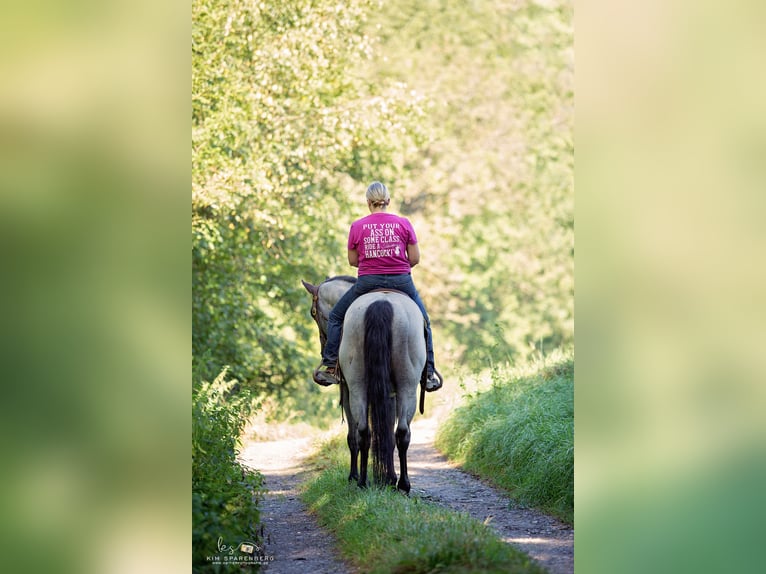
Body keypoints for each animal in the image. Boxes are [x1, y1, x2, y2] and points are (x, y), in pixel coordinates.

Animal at [304, 276, 428, 492]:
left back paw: (364, 481)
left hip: (358, 387)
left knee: (365, 432)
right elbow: (384, 435)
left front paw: (356, 476)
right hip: (406, 387)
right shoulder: (386, 395)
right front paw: (388, 478)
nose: (323, 348)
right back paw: (401, 484)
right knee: (400, 433)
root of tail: (382, 303)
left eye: (313, 313)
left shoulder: (346, 390)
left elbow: (353, 436)